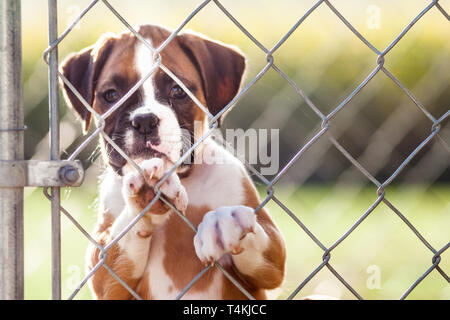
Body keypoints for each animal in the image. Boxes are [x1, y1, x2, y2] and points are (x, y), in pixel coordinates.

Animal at [60, 25, 284, 300]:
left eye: (177, 91)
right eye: (111, 95)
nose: (144, 120)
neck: (186, 180)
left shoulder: (271, 262)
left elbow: (265, 242)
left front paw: (224, 222)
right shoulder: (105, 275)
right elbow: (115, 244)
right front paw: (145, 197)